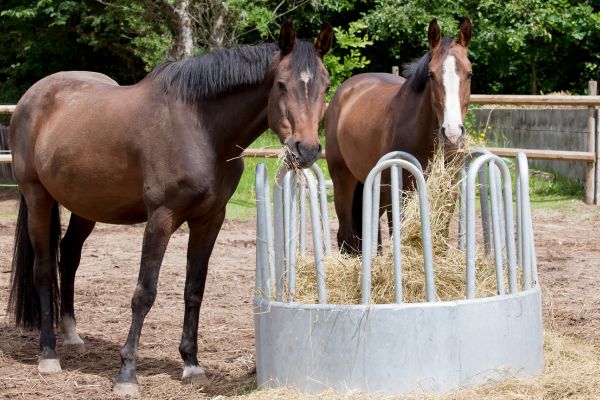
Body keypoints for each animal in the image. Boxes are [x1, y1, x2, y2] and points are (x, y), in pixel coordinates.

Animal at [8, 20, 332, 396]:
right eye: (281, 84)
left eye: (325, 85)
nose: (306, 149)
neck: (200, 128)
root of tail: (31, 98)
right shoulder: (161, 218)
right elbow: (144, 293)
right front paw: (127, 374)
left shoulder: (210, 220)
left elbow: (194, 290)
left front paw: (191, 364)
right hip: (37, 197)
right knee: (44, 270)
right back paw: (48, 354)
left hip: (85, 205)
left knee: (69, 255)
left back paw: (72, 336)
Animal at [326, 17, 472, 253]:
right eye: (431, 75)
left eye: (469, 73)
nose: (451, 132)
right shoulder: (397, 192)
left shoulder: (448, 191)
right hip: (343, 182)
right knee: (346, 235)